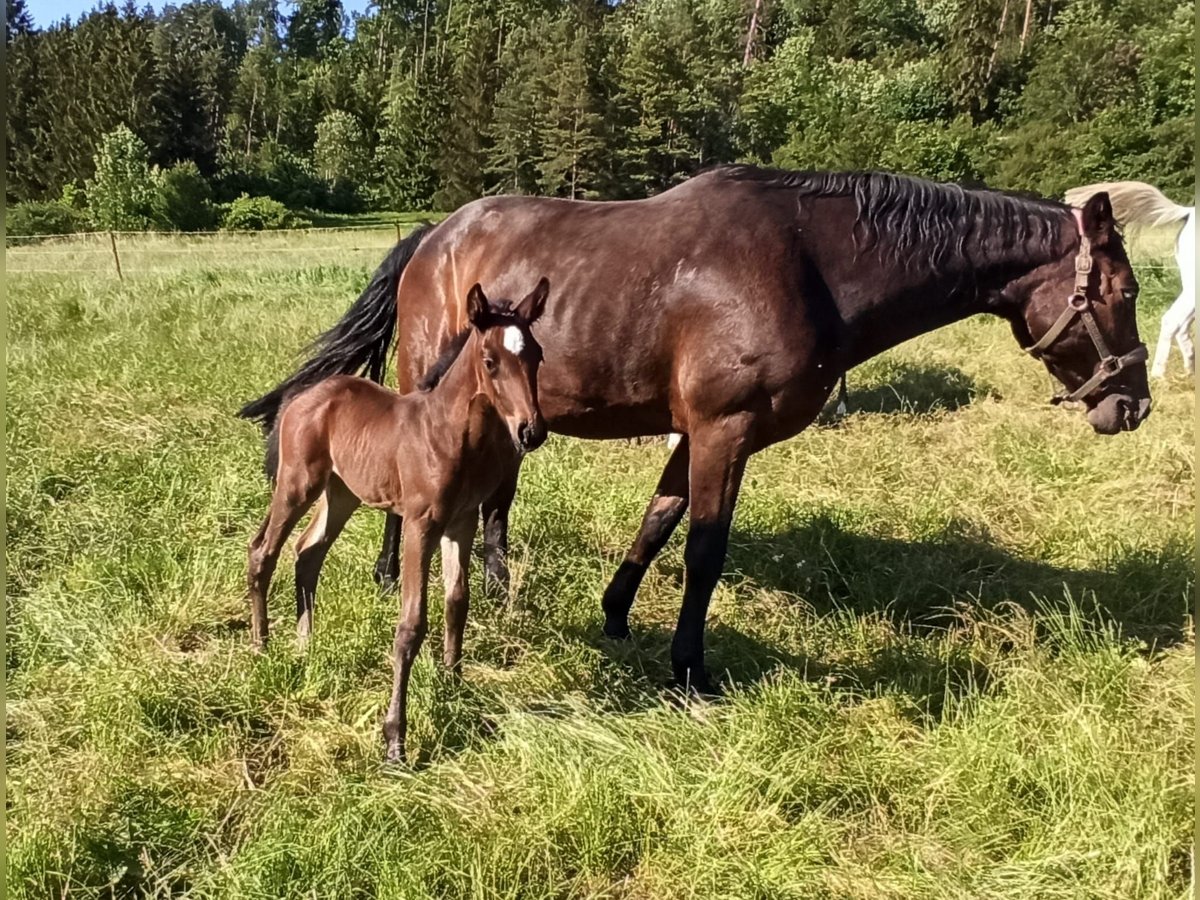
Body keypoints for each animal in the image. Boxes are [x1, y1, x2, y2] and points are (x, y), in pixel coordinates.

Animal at [248, 280, 549, 763]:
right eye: (490, 361)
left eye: (537, 355)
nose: (531, 431)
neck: (450, 434)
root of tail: (304, 397)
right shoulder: (419, 525)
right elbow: (411, 625)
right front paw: (395, 740)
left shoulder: (460, 523)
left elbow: (457, 602)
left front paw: (452, 683)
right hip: (298, 483)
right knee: (264, 549)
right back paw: (261, 646)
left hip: (342, 492)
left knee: (308, 552)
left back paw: (304, 645)